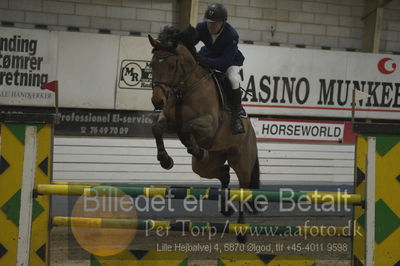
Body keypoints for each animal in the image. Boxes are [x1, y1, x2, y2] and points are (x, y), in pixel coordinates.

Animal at [148, 26, 258, 242]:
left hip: (242, 161)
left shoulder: (209, 123)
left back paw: (241, 231)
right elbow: (158, 129)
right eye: (152, 64)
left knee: (243, 188)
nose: (157, 101)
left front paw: (195, 148)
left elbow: (186, 129)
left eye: (172, 65)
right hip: (205, 166)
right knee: (223, 173)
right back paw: (225, 208)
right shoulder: (170, 121)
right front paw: (166, 160)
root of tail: (251, 131)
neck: (185, 88)